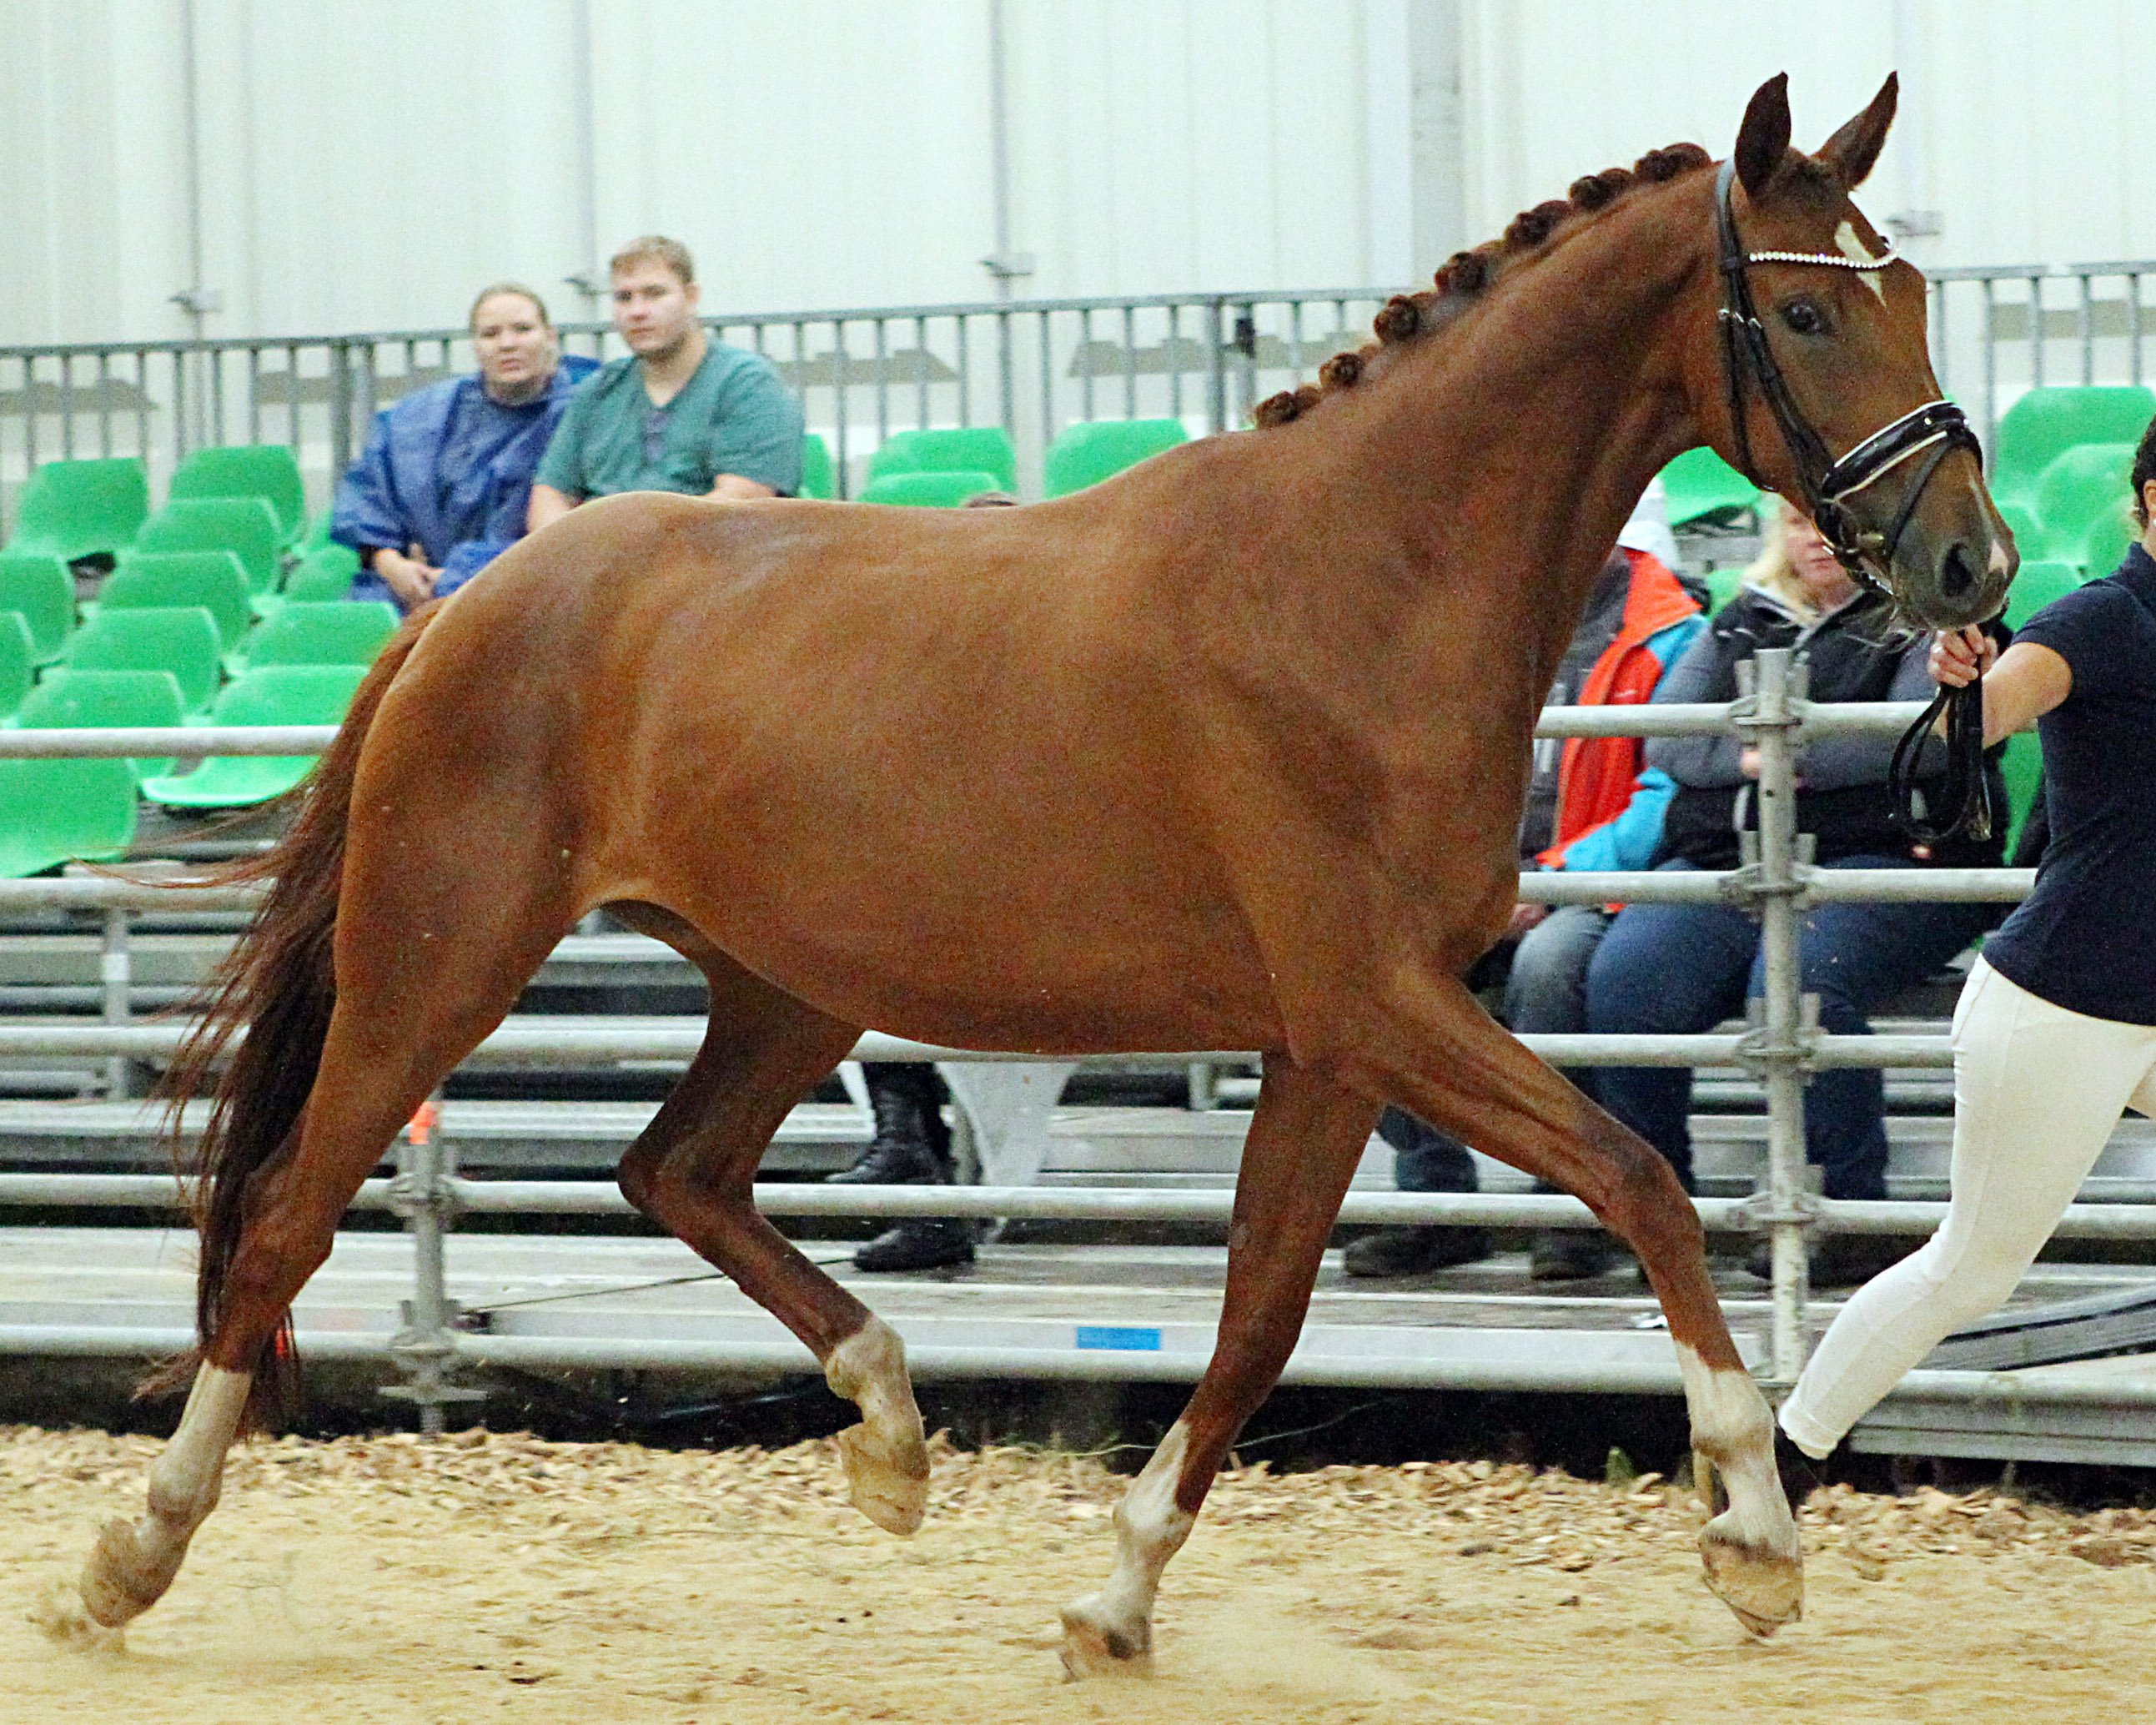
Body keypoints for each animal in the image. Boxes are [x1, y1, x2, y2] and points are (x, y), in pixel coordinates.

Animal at [83, 74, 2000, 1682]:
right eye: (1808, 309)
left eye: (1903, 290)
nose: (1968, 562)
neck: (1362, 583)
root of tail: (468, 602)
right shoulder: (1374, 1005)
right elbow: (1638, 1179)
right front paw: (1752, 1532)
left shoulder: (1329, 1041)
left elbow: (1258, 1316)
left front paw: (1116, 1594)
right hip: (443, 958)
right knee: (290, 1213)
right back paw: (133, 1551)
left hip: (786, 983)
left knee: (670, 1169)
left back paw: (886, 1429)